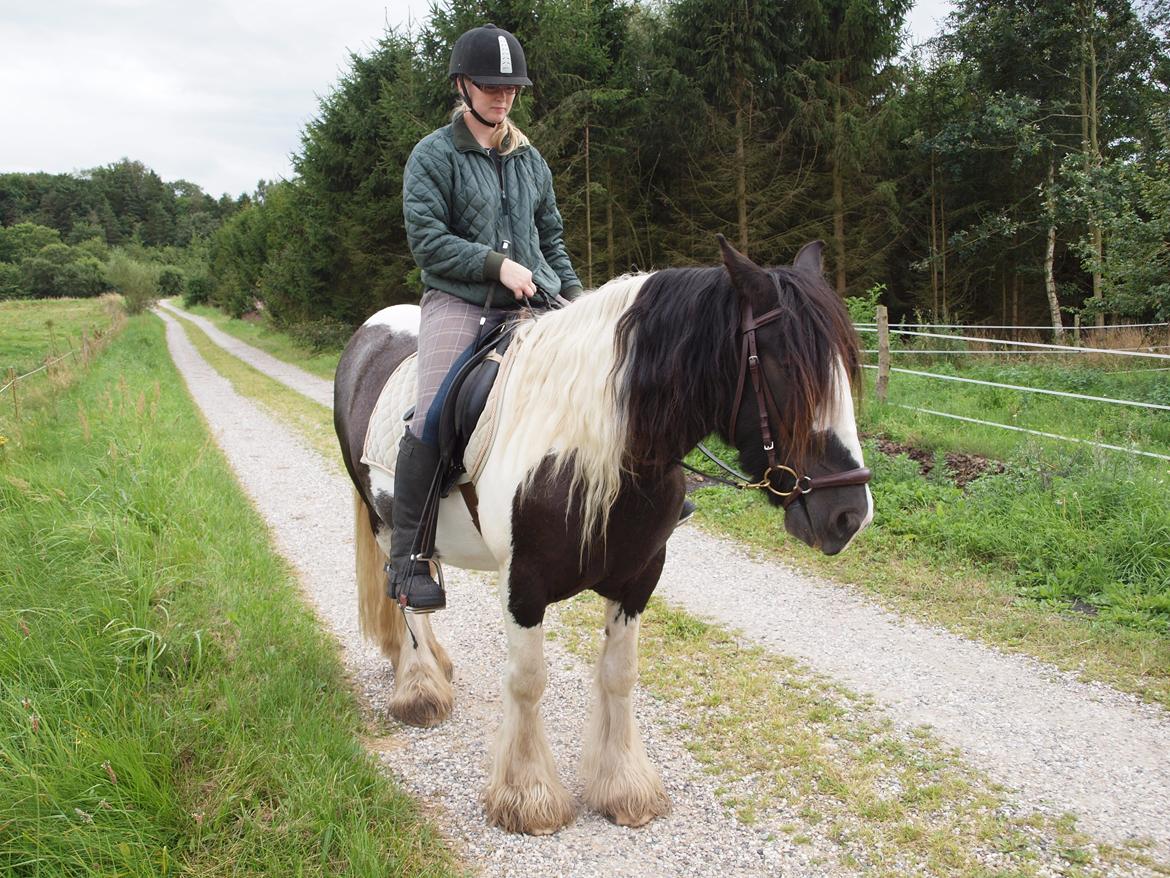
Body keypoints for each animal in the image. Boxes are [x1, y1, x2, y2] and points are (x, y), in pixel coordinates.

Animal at [334, 235, 875, 838]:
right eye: (787, 368)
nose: (850, 516)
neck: (587, 444)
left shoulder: (639, 578)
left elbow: (619, 675)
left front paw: (624, 788)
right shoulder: (522, 584)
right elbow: (528, 679)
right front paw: (528, 798)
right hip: (383, 520)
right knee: (405, 592)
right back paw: (421, 686)